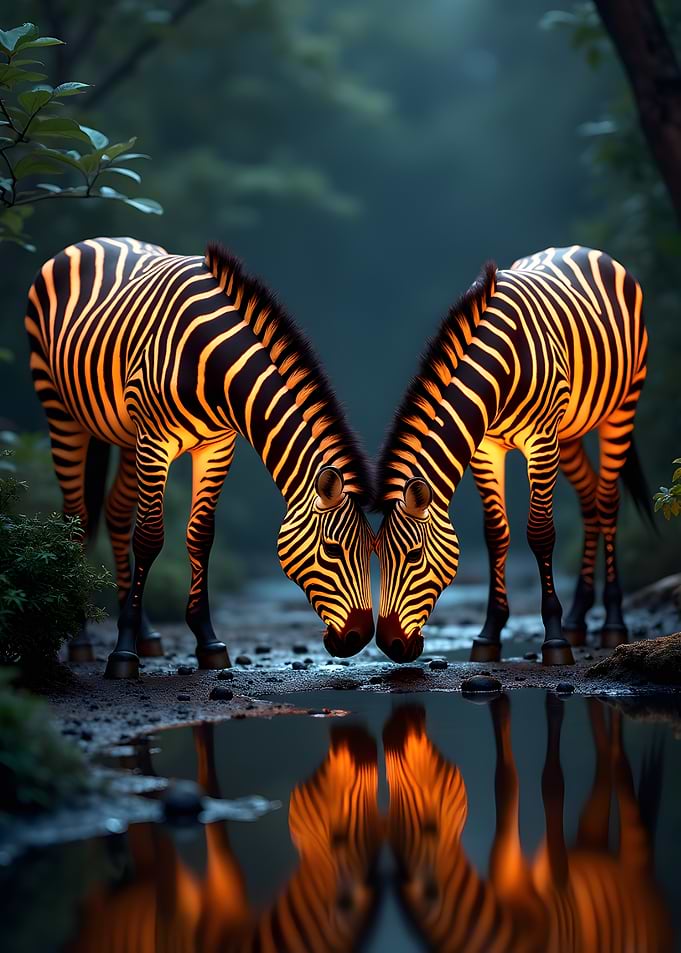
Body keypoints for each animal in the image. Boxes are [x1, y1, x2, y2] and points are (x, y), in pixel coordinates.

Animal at [25, 237, 374, 678]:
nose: (360, 638)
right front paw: (123, 654)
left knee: (116, 513)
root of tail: (91, 242)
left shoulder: (218, 445)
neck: (210, 362)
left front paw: (207, 642)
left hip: (122, 433)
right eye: (333, 550)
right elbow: (150, 536)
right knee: (77, 520)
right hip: (61, 412)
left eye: (371, 552)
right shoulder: (155, 442)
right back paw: (82, 640)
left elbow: (200, 536)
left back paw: (147, 633)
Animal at [374, 246, 649, 665]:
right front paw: (489, 634)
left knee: (607, 502)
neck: (499, 363)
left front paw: (554, 639)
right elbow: (496, 535)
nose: (391, 645)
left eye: (414, 556)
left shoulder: (542, 442)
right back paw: (579, 616)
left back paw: (612, 623)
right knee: (589, 499)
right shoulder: (485, 449)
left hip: (621, 408)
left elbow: (540, 533)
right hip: (569, 431)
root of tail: (588, 251)